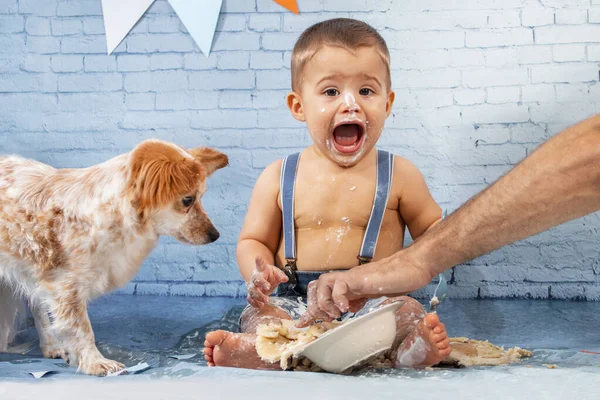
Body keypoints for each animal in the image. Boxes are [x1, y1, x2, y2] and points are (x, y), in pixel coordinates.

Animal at [0, 140, 227, 376]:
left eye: (201, 197)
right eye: (187, 200)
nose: (215, 235)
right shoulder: (66, 286)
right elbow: (82, 328)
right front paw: (95, 362)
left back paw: (51, 346)